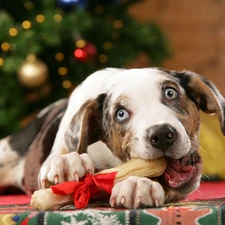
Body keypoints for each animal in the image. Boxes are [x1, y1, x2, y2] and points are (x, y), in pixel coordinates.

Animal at [0, 67, 225, 208]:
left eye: (171, 93)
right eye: (121, 113)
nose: (162, 135)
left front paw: (138, 183)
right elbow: (60, 157)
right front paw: (66, 161)